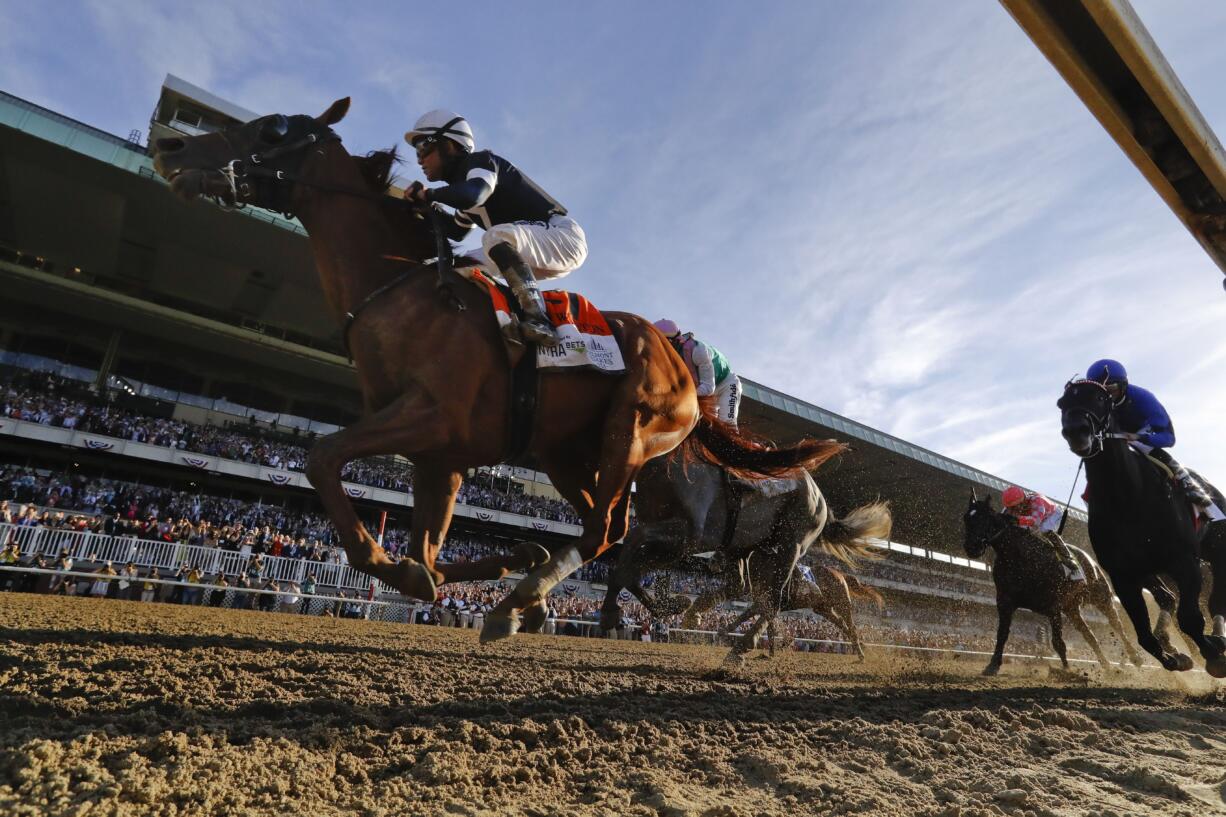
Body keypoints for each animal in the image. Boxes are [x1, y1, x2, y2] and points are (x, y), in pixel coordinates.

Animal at [153, 99, 843, 637]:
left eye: (272, 129)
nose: (169, 145)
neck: (398, 289)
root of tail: (679, 362)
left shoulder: (432, 418)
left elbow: (323, 458)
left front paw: (403, 566)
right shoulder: (441, 457)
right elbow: (429, 555)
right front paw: (483, 559)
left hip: (633, 430)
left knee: (608, 530)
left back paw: (525, 600)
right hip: (567, 453)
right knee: (608, 530)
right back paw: (532, 593)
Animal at [961, 490, 1142, 672]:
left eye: (984, 519)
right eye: (966, 518)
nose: (971, 547)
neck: (1019, 558)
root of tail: (1091, 559)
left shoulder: (1053, 606)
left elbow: (1058, 643)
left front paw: (1067, 670)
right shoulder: (1005, 601)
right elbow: (1002, 634)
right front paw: (993, 665)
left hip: (1101, 597)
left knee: (1116, 624)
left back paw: (1135, 657)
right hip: (1071, 608)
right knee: (1089, 635)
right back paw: (1107, 667)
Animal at [1054, 377, 1226, 672]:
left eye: (1100, 398)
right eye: (1062, 403)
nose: (1077, 432)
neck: (1127, 498)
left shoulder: (1184, 561)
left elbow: (1190, 618)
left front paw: (1214, 656)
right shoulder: (1124, 576)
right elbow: (1145, 637)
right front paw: (1175, 657)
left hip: (1216, 549)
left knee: (1216, 600)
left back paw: (1218, 637)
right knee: (1168, 598)